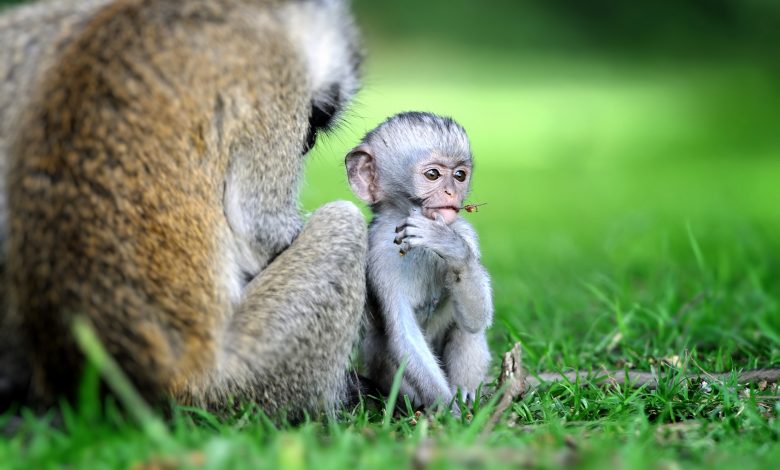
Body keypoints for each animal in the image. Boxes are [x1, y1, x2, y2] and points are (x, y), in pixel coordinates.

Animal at [0, 0, 368, 418]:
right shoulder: (277, 72)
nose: (306, 142)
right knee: (344, 221)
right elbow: (260, 232)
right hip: (231, 385)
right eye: (316, 117)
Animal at [348, 112, 494, 410]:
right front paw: (448, 411)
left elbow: (476, 320)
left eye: (460, 175)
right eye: (433, 175)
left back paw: (467, 395)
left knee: (466, 330)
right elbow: (404, 335)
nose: (452, 193)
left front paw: (447, 244)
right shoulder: (378, 253)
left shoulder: (465, 232)